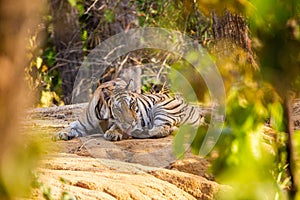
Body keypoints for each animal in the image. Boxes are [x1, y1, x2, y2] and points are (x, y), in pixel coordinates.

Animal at [53, 78, 209, 141]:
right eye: (119, 109)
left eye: (132, 105)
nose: (133, 122)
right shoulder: (82, 123)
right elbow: (70, 126)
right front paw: (60, 134)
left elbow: (117, 127)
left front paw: (113, 133)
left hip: (162, 108)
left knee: (162, 129)